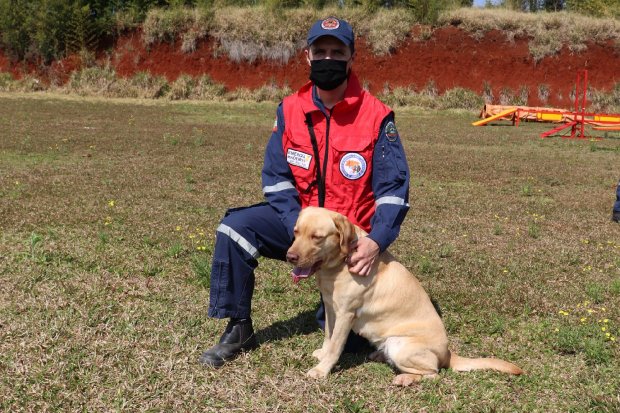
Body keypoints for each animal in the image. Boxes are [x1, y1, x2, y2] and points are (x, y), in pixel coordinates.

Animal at [286, 208, 524, 384]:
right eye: (296, 232)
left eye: (317, 237)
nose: (290, 256)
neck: (340, 263)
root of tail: (448, 353)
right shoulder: (331, 308)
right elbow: (328, 336)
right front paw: (322, 355)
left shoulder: (346, 314)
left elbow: (336, 345)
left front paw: (321, 370)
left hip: (400, 345)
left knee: (433, 373)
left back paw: (405, 379)